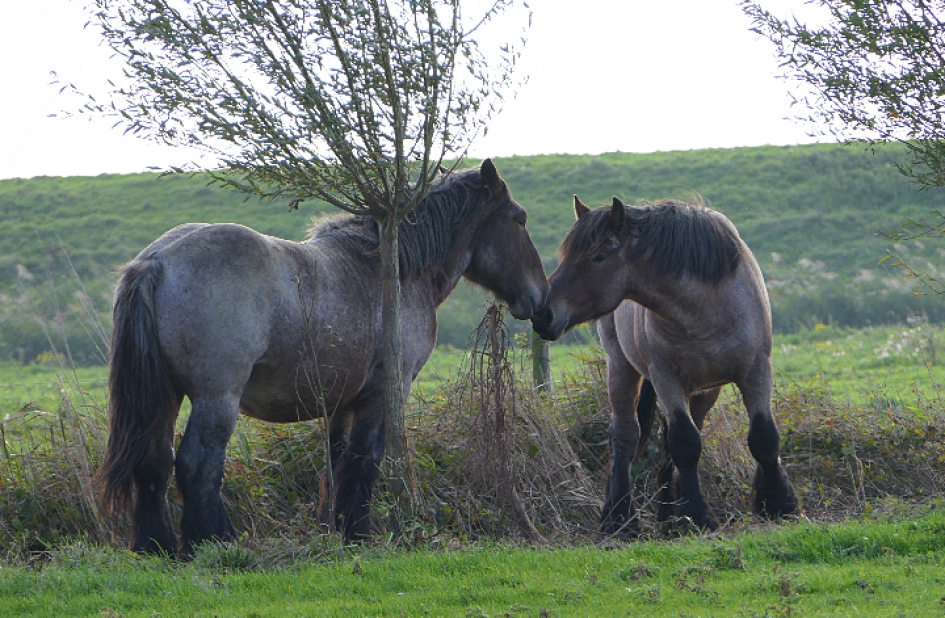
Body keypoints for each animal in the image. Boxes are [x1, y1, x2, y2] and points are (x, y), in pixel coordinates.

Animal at [95, 159, 550, 555]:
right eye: (520, 219)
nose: (541, 301)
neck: (394, 269)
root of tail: (157, 260)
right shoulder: (383, 393)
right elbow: (364, 463)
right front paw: (358, 534)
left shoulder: (341, 402)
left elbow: (335, 467)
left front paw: (332, 529)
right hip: (216, 398)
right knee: (197, 464)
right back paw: (216, 542)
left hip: (165, 396)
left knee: (153, 463)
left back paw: (154, 547)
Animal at [531, 195, 798, 536]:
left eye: (599, 257)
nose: (543, 314)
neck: (706, 309)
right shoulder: (665, 377)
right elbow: (684, 441)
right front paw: (697, 515)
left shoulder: (755, 370)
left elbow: (763, 437)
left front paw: (778, 504)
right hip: (622, 367)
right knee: (625, 435)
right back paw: (619, 518)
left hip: (704, 391)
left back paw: (665, 510)